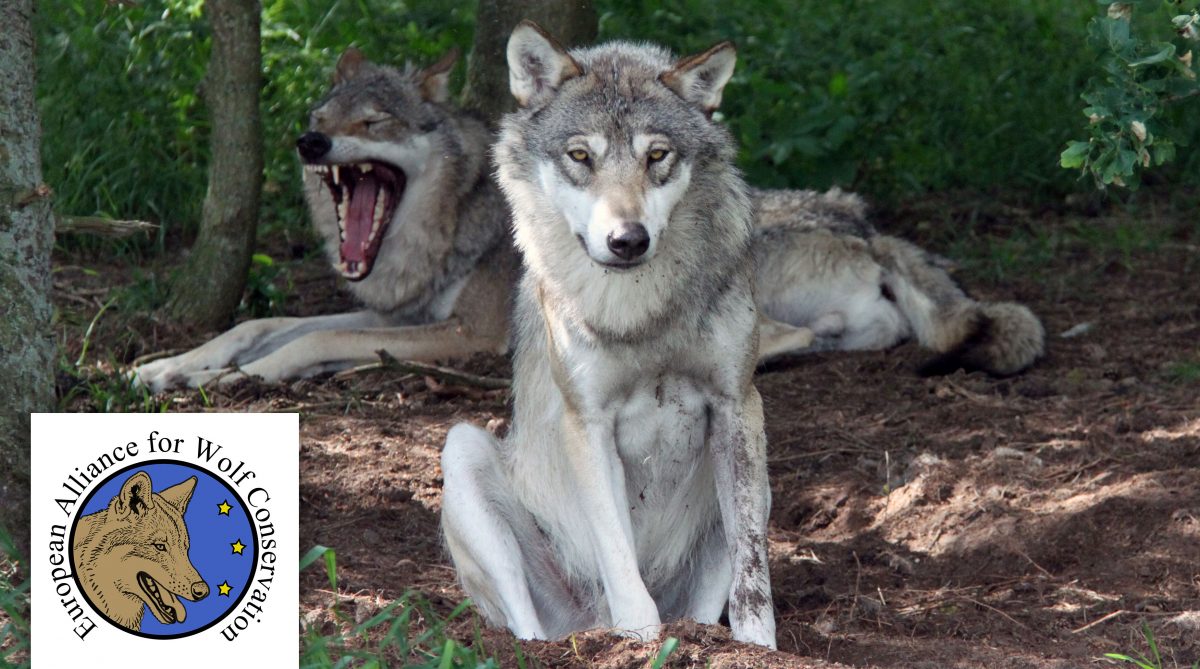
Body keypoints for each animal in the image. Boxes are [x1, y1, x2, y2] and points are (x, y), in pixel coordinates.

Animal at [131, 47, 516, 392]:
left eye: (373, 122)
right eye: (319, 119)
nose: (310, 142)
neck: (457, 216)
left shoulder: (473, 332)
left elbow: (319, 337)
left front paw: (220, 377)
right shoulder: (399, 317)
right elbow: (258, 325)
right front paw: (163, 367)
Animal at [441, 22, 780, 648]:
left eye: (656, 156)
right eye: (581, 156)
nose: (628, 240)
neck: (640, 311)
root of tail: (586, 622)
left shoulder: (737, 404)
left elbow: (753, 578)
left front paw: (758, 650)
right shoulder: (589, 422)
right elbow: (623, 568)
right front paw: (642, 643)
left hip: (761, 479)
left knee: (707, 604)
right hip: (463, 451)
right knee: (529, 626)